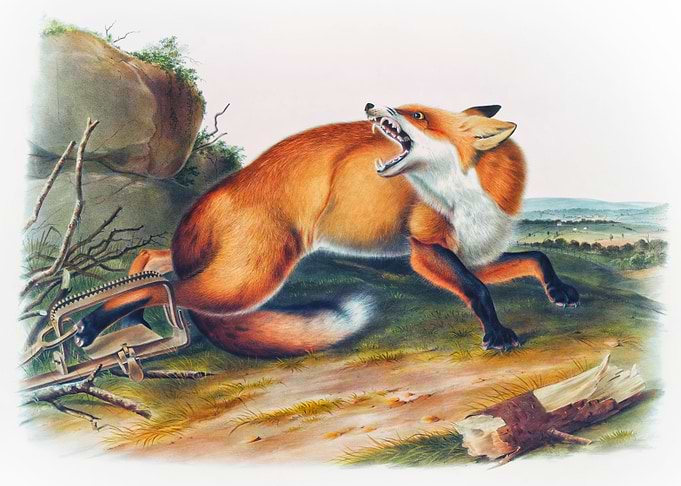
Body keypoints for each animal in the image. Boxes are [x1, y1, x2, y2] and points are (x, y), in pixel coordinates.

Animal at [74, 102, 579, 357]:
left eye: (418, 116)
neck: (466, 190)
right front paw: (497, 334)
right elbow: (478, 290)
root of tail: (225, 188)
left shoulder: (471, 254)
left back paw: (130, 322)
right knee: (165, 288)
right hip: (250, 278)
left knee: (153, 265)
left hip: (228, 271)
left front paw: (559, 292)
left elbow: (535, 257)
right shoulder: (425, 249)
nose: (371, 102)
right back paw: (96, 323)